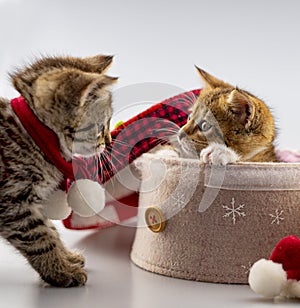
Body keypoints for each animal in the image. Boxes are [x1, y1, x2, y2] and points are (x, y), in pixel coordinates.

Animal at [0, 54, 115, 286]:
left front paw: (67, 258)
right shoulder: (13, 203)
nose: (109, 142)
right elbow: (41, 238)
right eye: (103, 126)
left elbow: (51, 230)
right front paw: (61, 271)